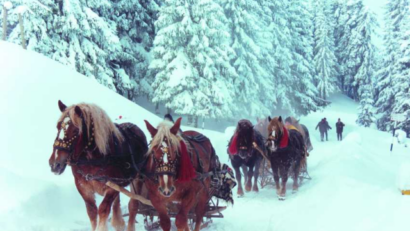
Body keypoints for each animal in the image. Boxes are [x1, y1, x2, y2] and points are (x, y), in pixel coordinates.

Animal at [48, 101, 147, 231]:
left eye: (75, 131)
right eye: (58, 127)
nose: (55, 164)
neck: (93, 160)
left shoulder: (112, 187)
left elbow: (103, 209)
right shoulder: (83, 187)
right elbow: (91, 211)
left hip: (137, 178)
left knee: (133, 205)